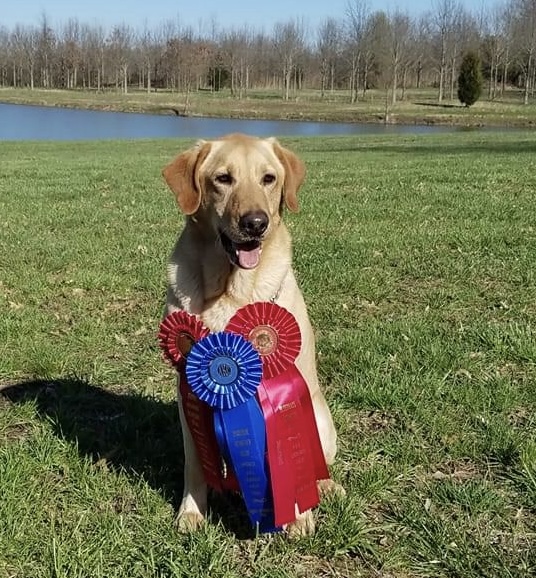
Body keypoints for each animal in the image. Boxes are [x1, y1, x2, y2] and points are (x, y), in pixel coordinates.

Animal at [162, 133, 340, 532]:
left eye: (268, 179)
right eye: (223, 179)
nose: (255, 223)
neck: (231, 288)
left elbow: (294, 450)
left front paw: (298, 516)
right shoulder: (186, 389)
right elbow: (195, 464)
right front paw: (192, 511)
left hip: (323, 419)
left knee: (321, 464)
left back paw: (328, 487)